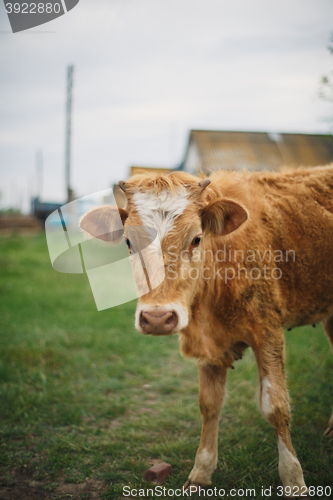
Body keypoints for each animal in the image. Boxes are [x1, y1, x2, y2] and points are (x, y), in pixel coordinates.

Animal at [79, 167, 332, 496]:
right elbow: (209, 405)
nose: (157, 318)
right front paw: (201, 471)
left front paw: (294, 481)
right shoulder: (207, 345)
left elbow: (276, 407)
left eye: (196, 239)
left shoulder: (268, 332)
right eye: (128, 243)